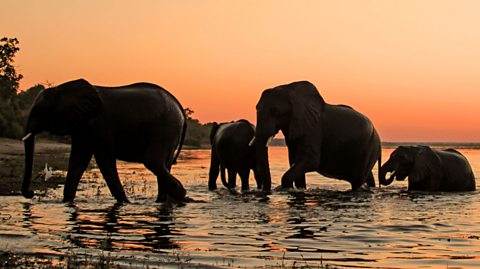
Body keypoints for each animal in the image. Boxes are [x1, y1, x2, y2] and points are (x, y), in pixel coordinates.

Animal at [22, 78, 188, 202]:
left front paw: (125, 203)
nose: (31, 193)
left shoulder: (98, 124)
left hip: (165, 129)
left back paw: (180, 194)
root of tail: (179, 106)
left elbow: (104, 159)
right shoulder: (82, 126)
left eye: (37, 110)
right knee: (163, 163)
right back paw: (165, 200)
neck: (63, 88)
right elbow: (78, 160)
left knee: (152, 160)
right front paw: (67, 202)